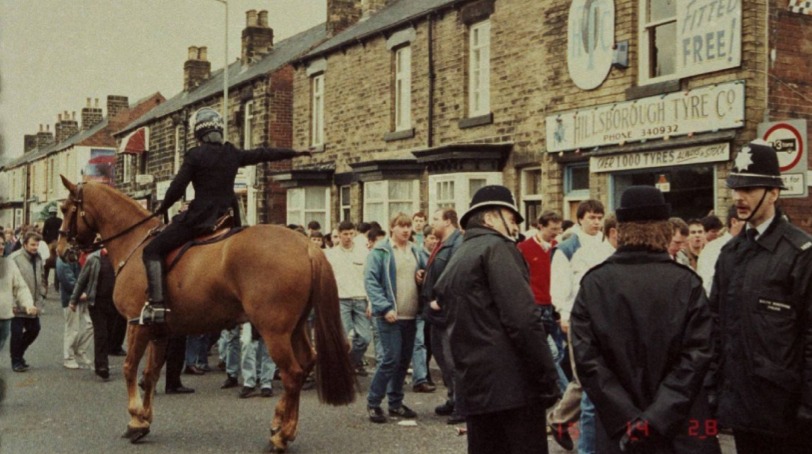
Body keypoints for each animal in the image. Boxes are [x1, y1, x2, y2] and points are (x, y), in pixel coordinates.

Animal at [55, 176, 356, 452]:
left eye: (67, 208)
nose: (61, 250)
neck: (135, 244)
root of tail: (307, 245)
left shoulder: (137, 325)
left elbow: (131, 369)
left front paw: (135, 421)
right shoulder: (158, 331)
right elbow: (151, 374)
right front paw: (145, 419)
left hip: (275, 332)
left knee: (292, 374)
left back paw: (281, 436)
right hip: (295, 328)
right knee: (306, 363)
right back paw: (280, 424)